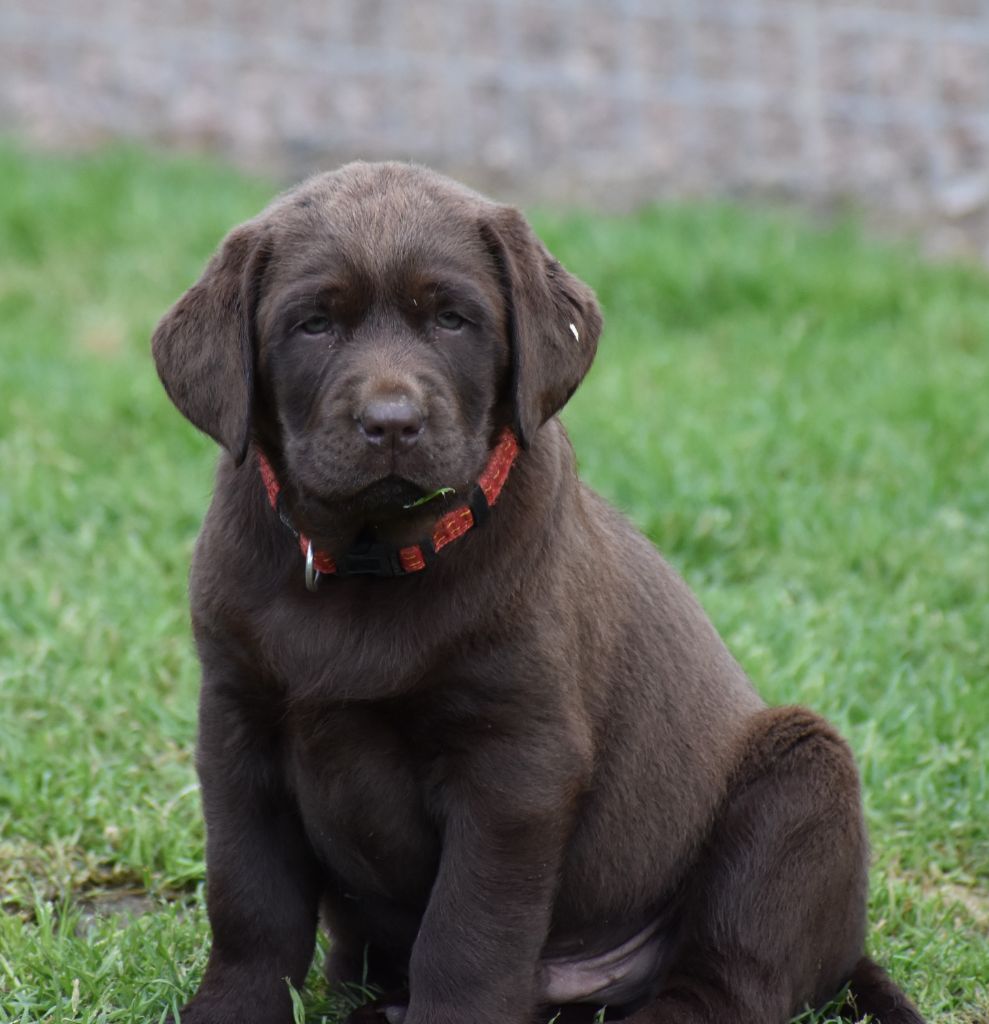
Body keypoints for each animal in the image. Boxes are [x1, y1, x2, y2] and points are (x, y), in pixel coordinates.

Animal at [152, 162, 925, 1024]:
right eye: (313, 324)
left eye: (452, 319)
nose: (392, 423)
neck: (367, 559)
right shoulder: (237, 728)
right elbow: (251, 904)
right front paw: (230, 1010)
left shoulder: (515, 763)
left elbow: (468, 931)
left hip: (800, 781)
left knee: (726, 982)